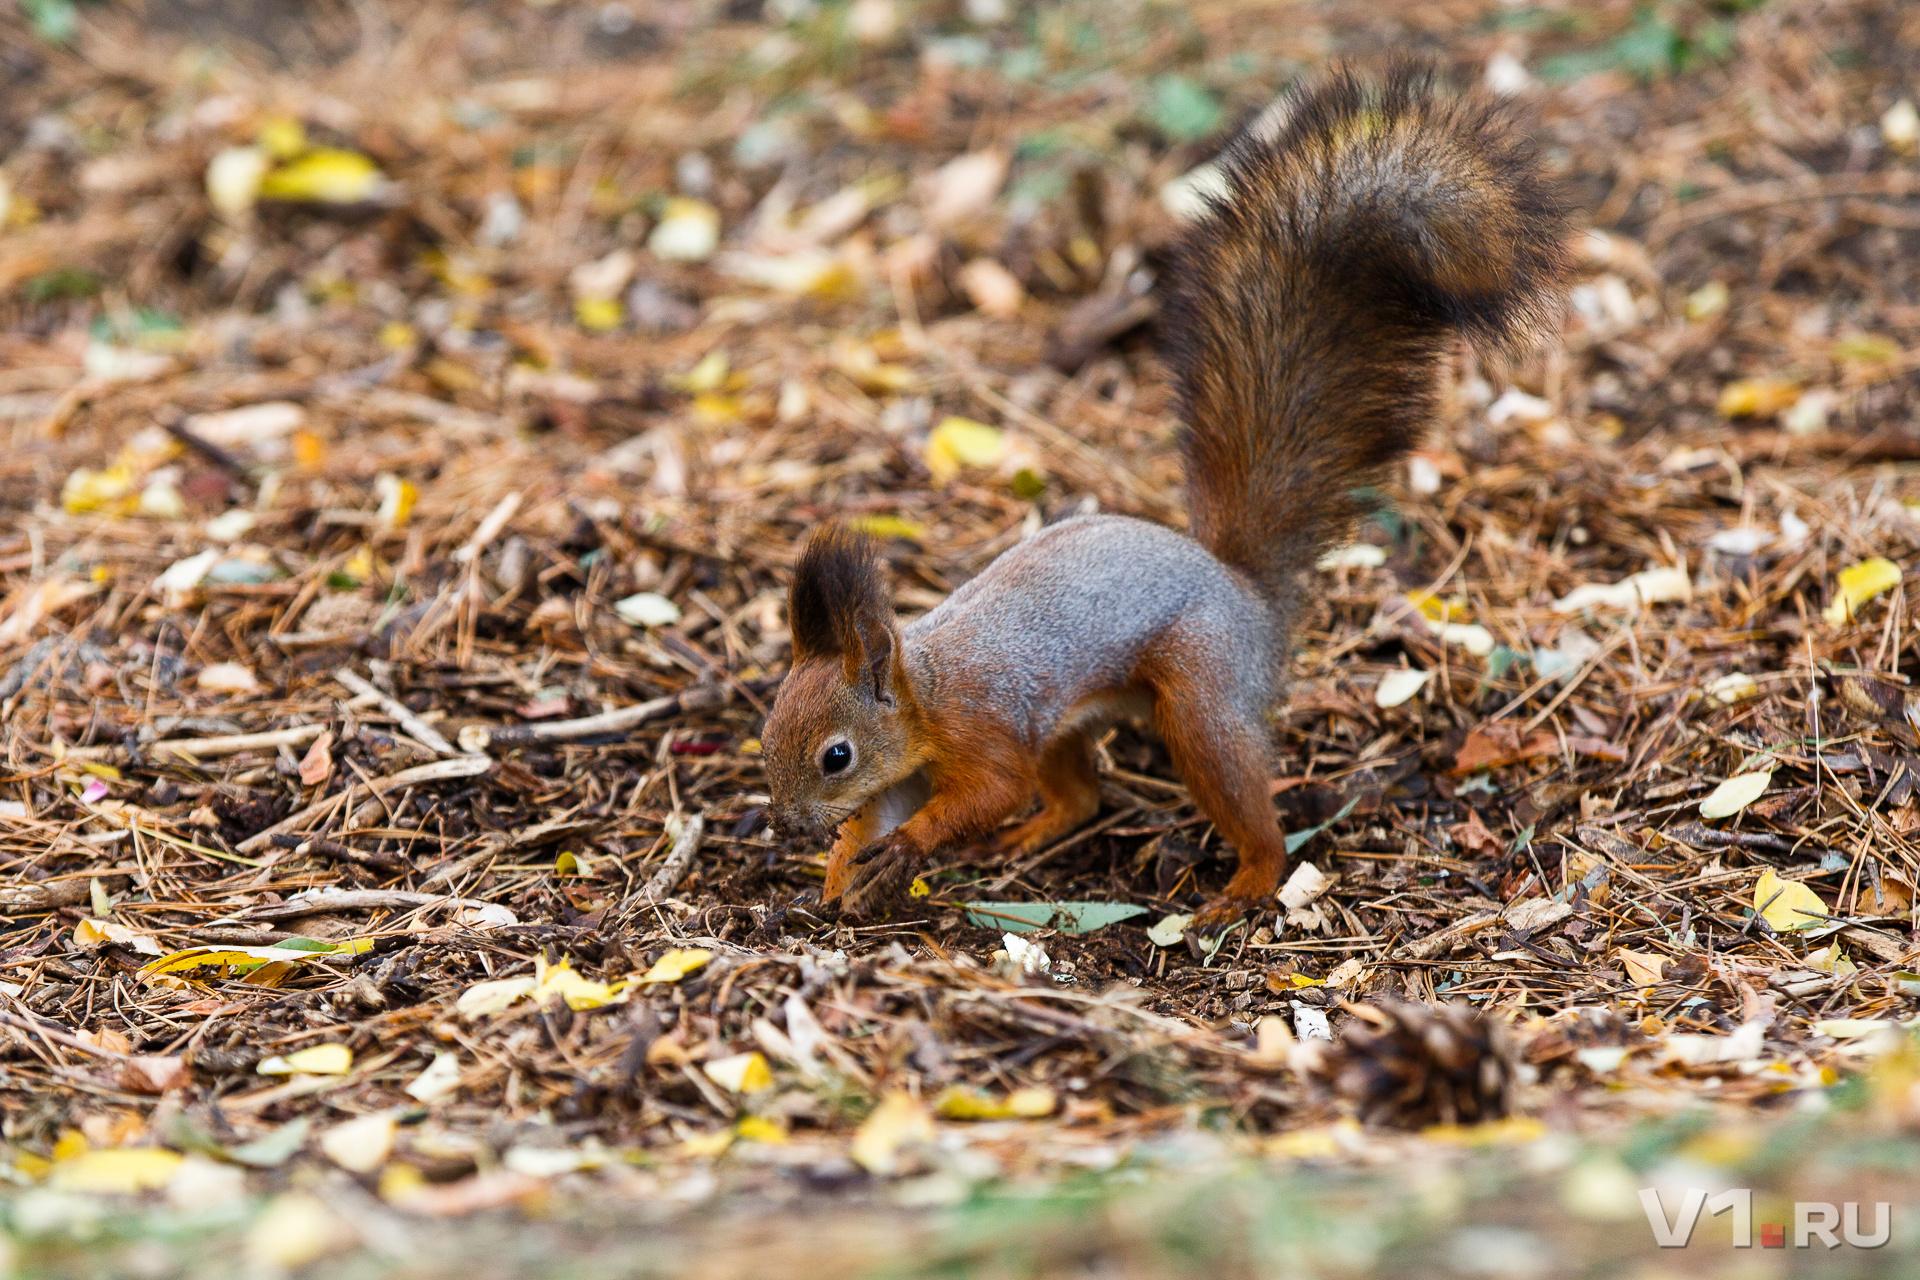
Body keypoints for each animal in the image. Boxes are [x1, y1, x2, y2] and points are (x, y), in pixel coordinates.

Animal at [756, 65, 1566, 924]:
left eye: (836, 756)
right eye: (768, 731)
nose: (786, 825)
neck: (923, 698)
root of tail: (1248, 593)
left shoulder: (982, 733)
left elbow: (990, 790)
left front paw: (906, 847)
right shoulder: (907, 769)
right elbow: (876, 820)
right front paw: (836, 875)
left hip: (1200, 691)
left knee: (1242, 801)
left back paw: (1245, 883)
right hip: (1074, 723)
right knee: (1082, 796)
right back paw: (1036, 835)